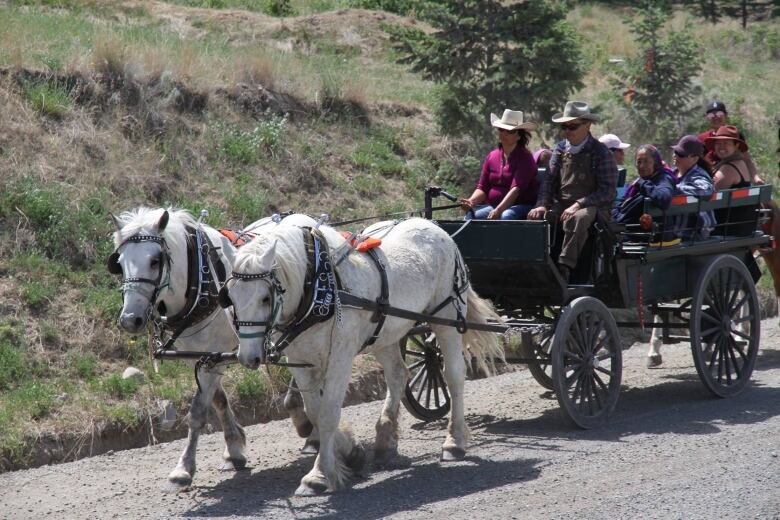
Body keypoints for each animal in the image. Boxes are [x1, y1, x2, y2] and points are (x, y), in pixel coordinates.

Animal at [108, 206, 318, 488]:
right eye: (119, 263)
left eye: (154, 260)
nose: (130, 319)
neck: (201, 280)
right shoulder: (206, 356)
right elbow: (217, 400)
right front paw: (234, 449)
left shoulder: (215, 356)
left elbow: (198, 411)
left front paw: (184, 467)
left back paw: (307, 427)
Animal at [222, 217, 502, 494]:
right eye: (230, 297)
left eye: (265, 297)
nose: (248, 358)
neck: (319, 285)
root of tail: (437, 228)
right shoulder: (300, 362)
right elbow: (314, 412)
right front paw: (350, 453)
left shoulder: (340, 357)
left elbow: (328, 414)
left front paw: (319, 474)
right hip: (386, 334)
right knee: (398, 375)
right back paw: (385, 443)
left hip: (447, 319)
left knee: (453, 375)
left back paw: (454, 442)